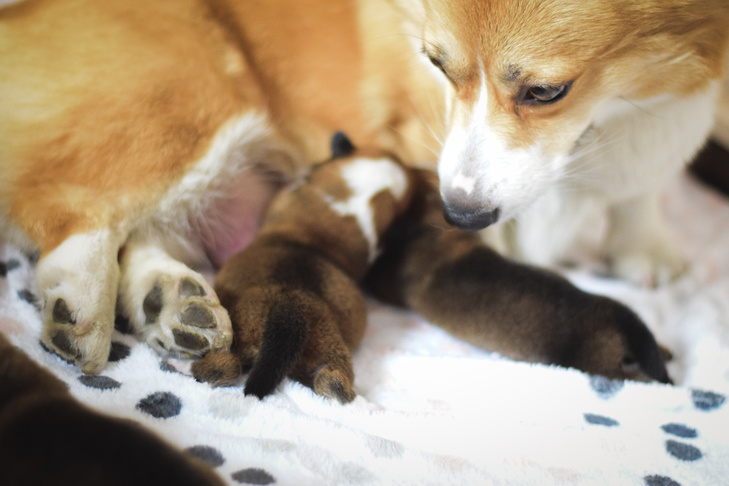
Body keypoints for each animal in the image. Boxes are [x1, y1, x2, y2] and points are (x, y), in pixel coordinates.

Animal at [191, 133, 412, 402]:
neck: (354, 194)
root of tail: (292, 308)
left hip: (234, 336)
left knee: (227, 365)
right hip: (328, 348)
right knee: (331, 379)